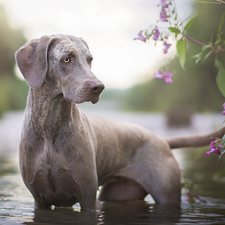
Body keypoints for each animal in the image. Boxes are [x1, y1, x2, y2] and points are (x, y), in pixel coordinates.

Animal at [15, 33, 225, 211]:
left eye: (90, 59)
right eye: (67, 58)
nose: (98, 87)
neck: (49, 126)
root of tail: (163, 140)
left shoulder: (88, 198)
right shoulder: (40, 200)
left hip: (167, 193)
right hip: (119, 192)